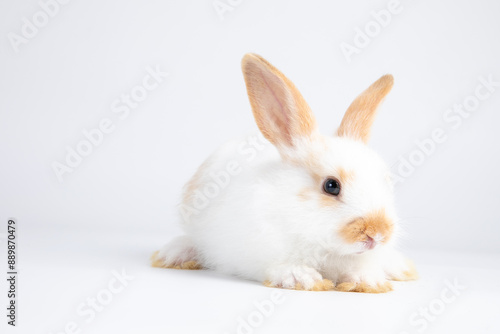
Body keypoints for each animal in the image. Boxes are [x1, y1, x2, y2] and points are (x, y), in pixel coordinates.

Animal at [152, 52, 418, 292]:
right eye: (331, 186)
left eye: (386, 180)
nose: (378, 233)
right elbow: (279, 266)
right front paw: (303, 279)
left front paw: (368, 281)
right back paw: (173, 255)